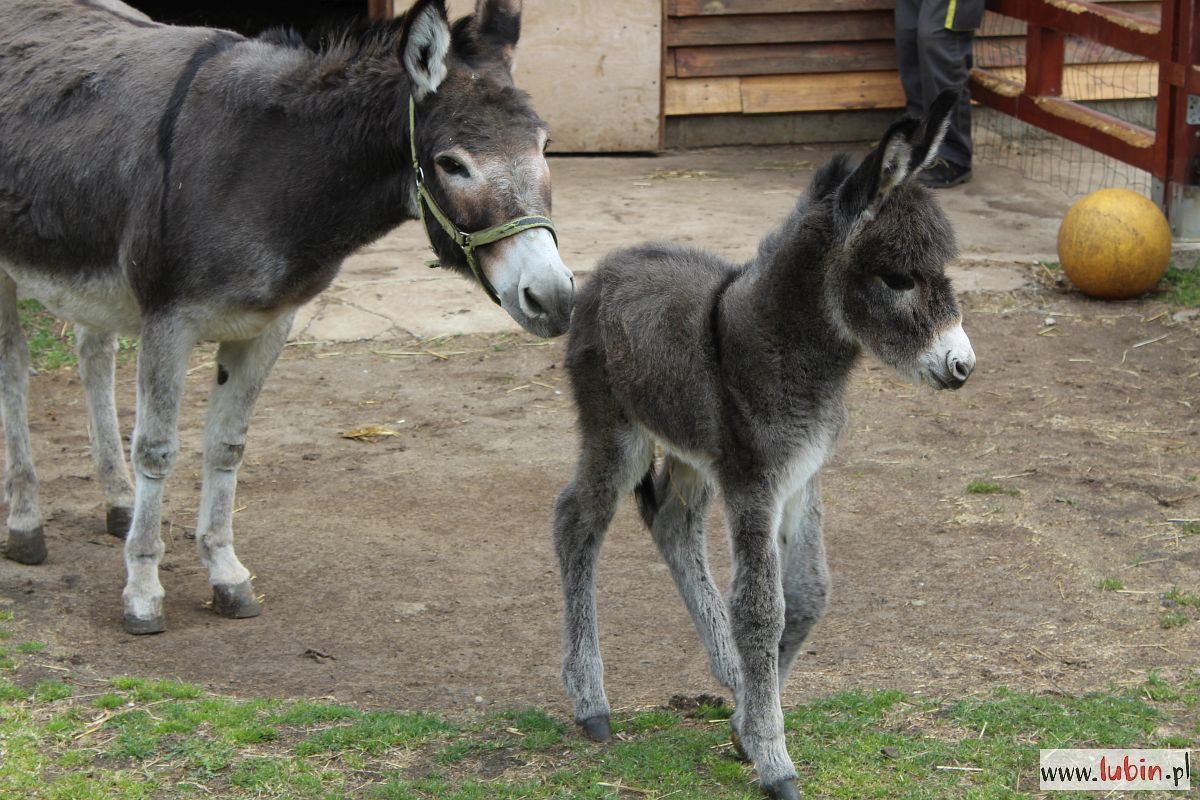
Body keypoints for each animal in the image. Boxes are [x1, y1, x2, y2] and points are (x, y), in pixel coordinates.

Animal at [552, 90, 974, 796]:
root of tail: (612, 264)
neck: (790, 349)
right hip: (618, 434)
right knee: (576, 522)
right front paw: (773, 756)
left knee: (671, 524)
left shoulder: (801, 478)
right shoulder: (754, 483)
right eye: (896, 279)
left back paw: (728, 672)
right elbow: (761, 609)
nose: (962, 367)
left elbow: (808, 597)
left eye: (938, 272)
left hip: (692, 455)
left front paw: (749, 721)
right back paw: (592, 703)